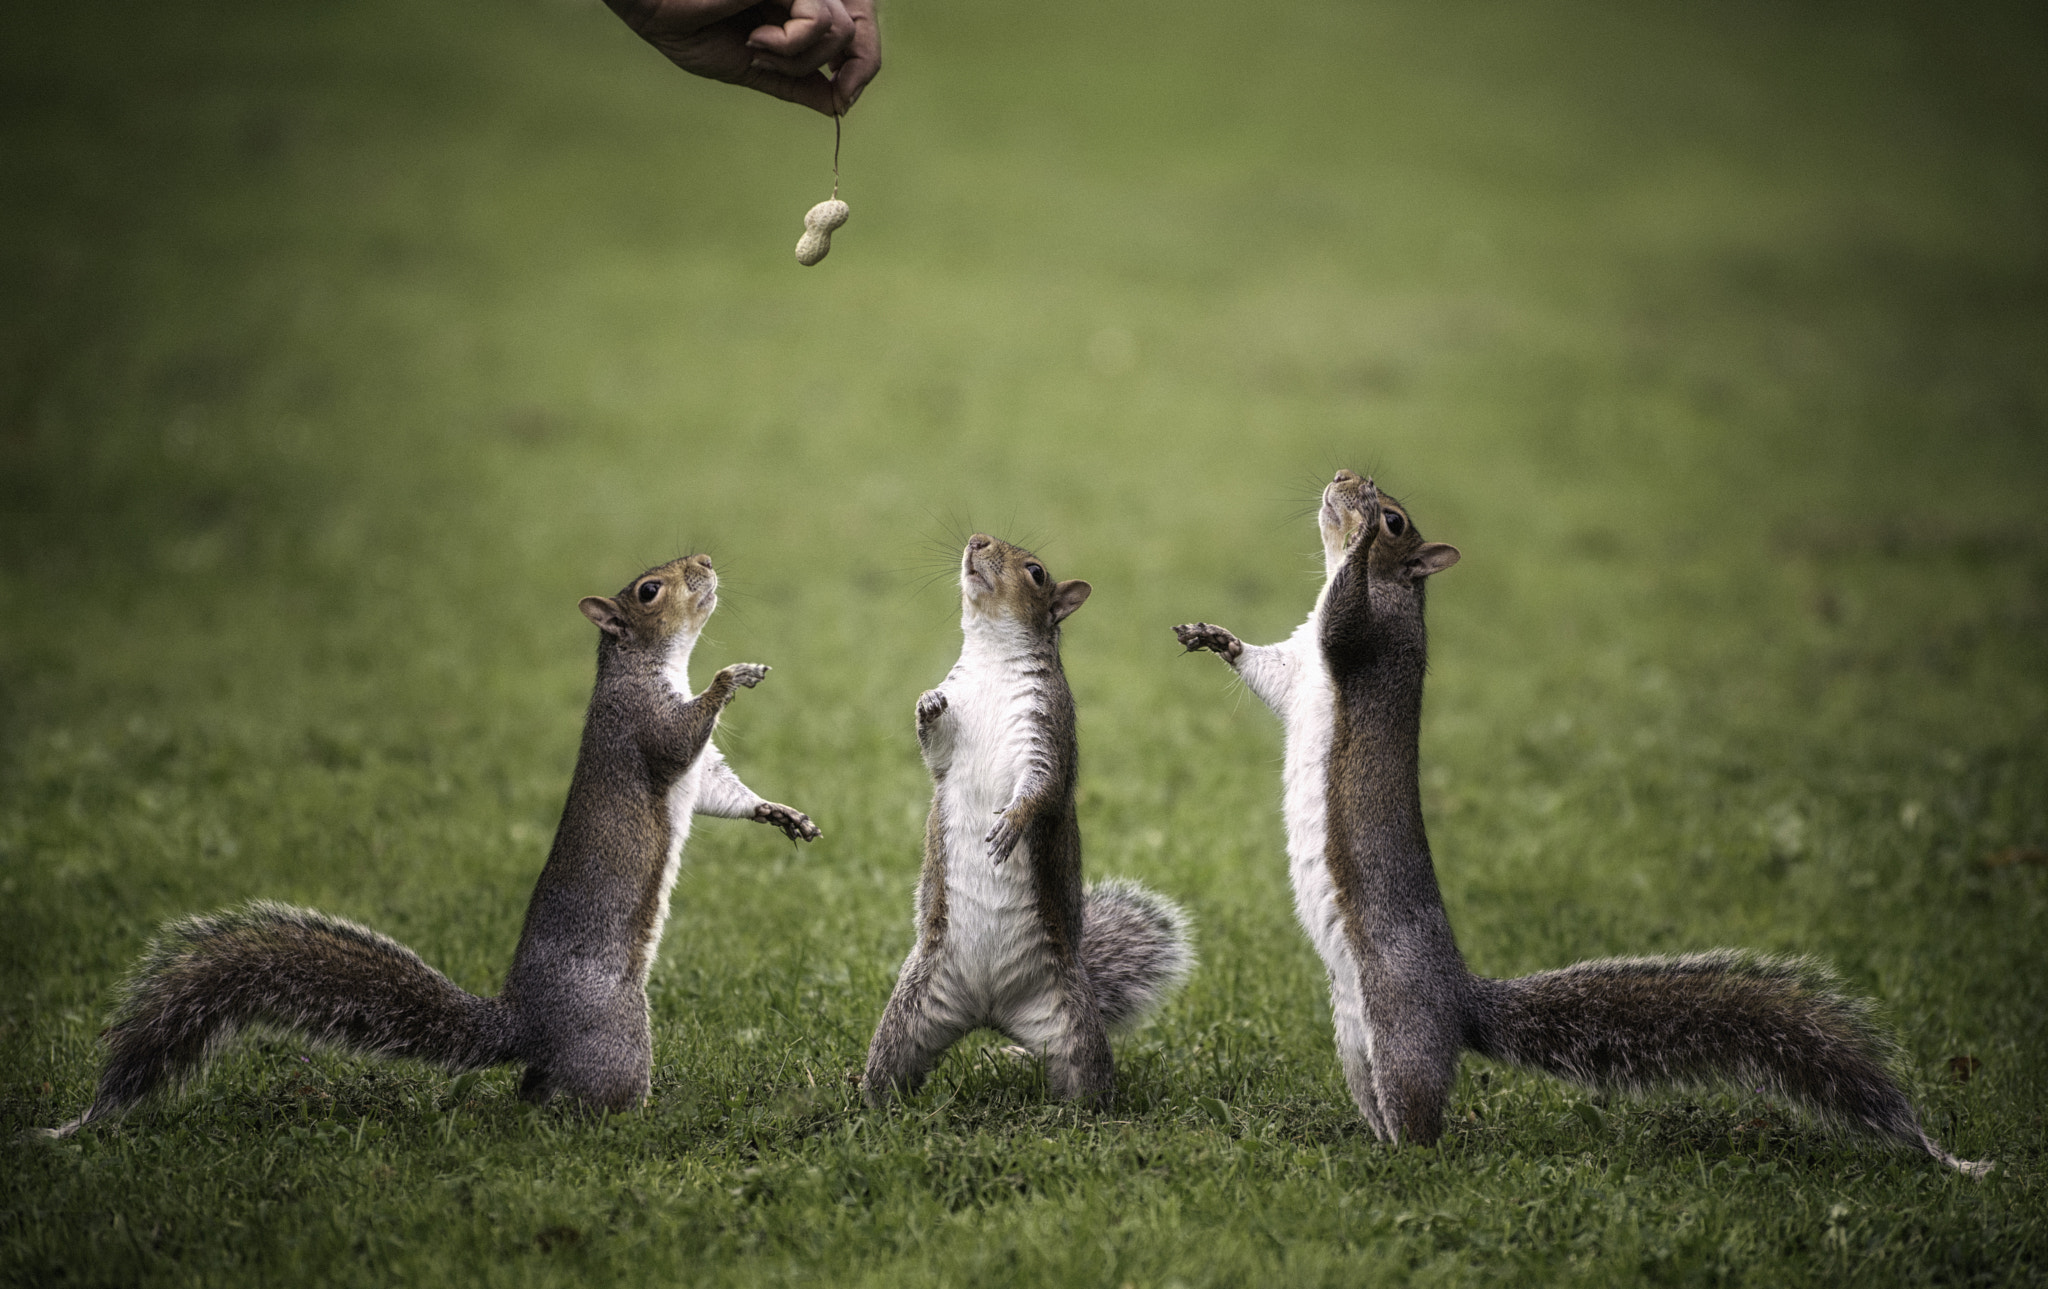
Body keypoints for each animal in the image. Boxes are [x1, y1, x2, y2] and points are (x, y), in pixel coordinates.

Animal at [46, 553, 820, 1135]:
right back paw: (643, 1116)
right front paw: (729, 677)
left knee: (537, 1093)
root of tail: (522, 1023)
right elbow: (680, 737)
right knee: (583, 1099)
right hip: (615, 1029)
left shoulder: (702, 771)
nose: (705, 561)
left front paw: (781, 814)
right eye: (649, 589)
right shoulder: (643, 726)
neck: (653, 665)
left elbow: (722, 789)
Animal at [863, 534, 1194, 1108]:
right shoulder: (950, 746)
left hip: (1072, 1025)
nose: (977, 540)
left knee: (1087, 1076)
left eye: (1036, 572)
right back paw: (867, 1104)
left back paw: (1084, 1113)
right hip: (910, 1014)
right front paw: (927, 704)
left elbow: (1041, 787)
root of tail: (990, 1012)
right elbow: (934, 751)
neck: (993, 656)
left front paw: (1011, 825)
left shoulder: (1048, 729)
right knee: (891, 1066)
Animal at [1175, 470, 1987, 1175]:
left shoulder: (1366, 642)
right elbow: (1266, 670)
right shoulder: (1297, 667)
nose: (1348, 477)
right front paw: (1215, 637)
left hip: (1400, 1028)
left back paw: (1404, 1163)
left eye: (1399, 521)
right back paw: (1366, 1146)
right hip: (1354, 1042)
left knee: (1422, 1120)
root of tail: (1459, 1000)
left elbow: (1346, 618)